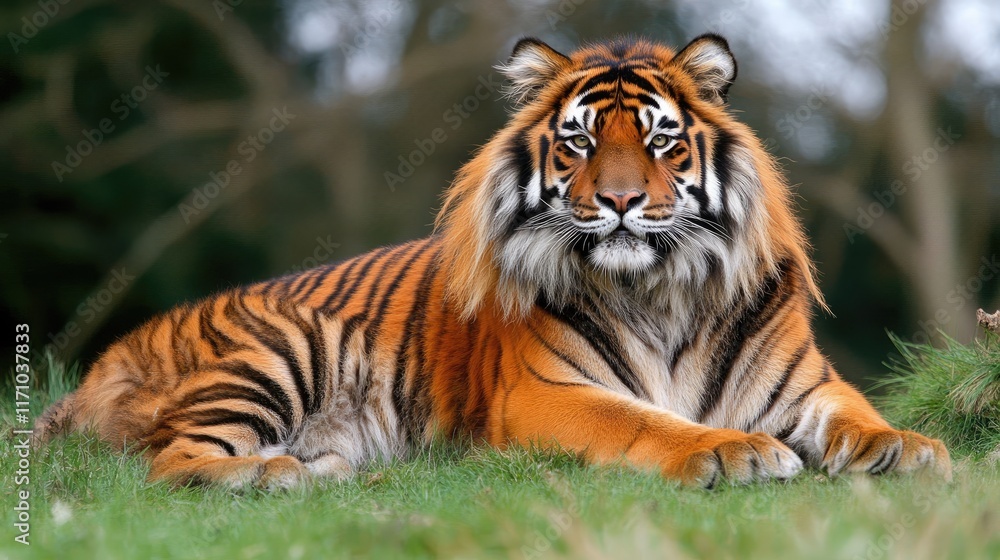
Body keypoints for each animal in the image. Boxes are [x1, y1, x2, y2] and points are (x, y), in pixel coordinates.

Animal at [36, 34, 952, 489]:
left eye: (660, 140)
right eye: (580, 141)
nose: (621, 201)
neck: (660, 289)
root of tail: (107, 358)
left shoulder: (808, 385)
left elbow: (859, 414)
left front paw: (908, 447)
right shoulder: (549, 393)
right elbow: (649, 421)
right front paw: (732, 451)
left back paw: (321, 466)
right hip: (284, 346)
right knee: (168, 463)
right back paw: (276, 475)